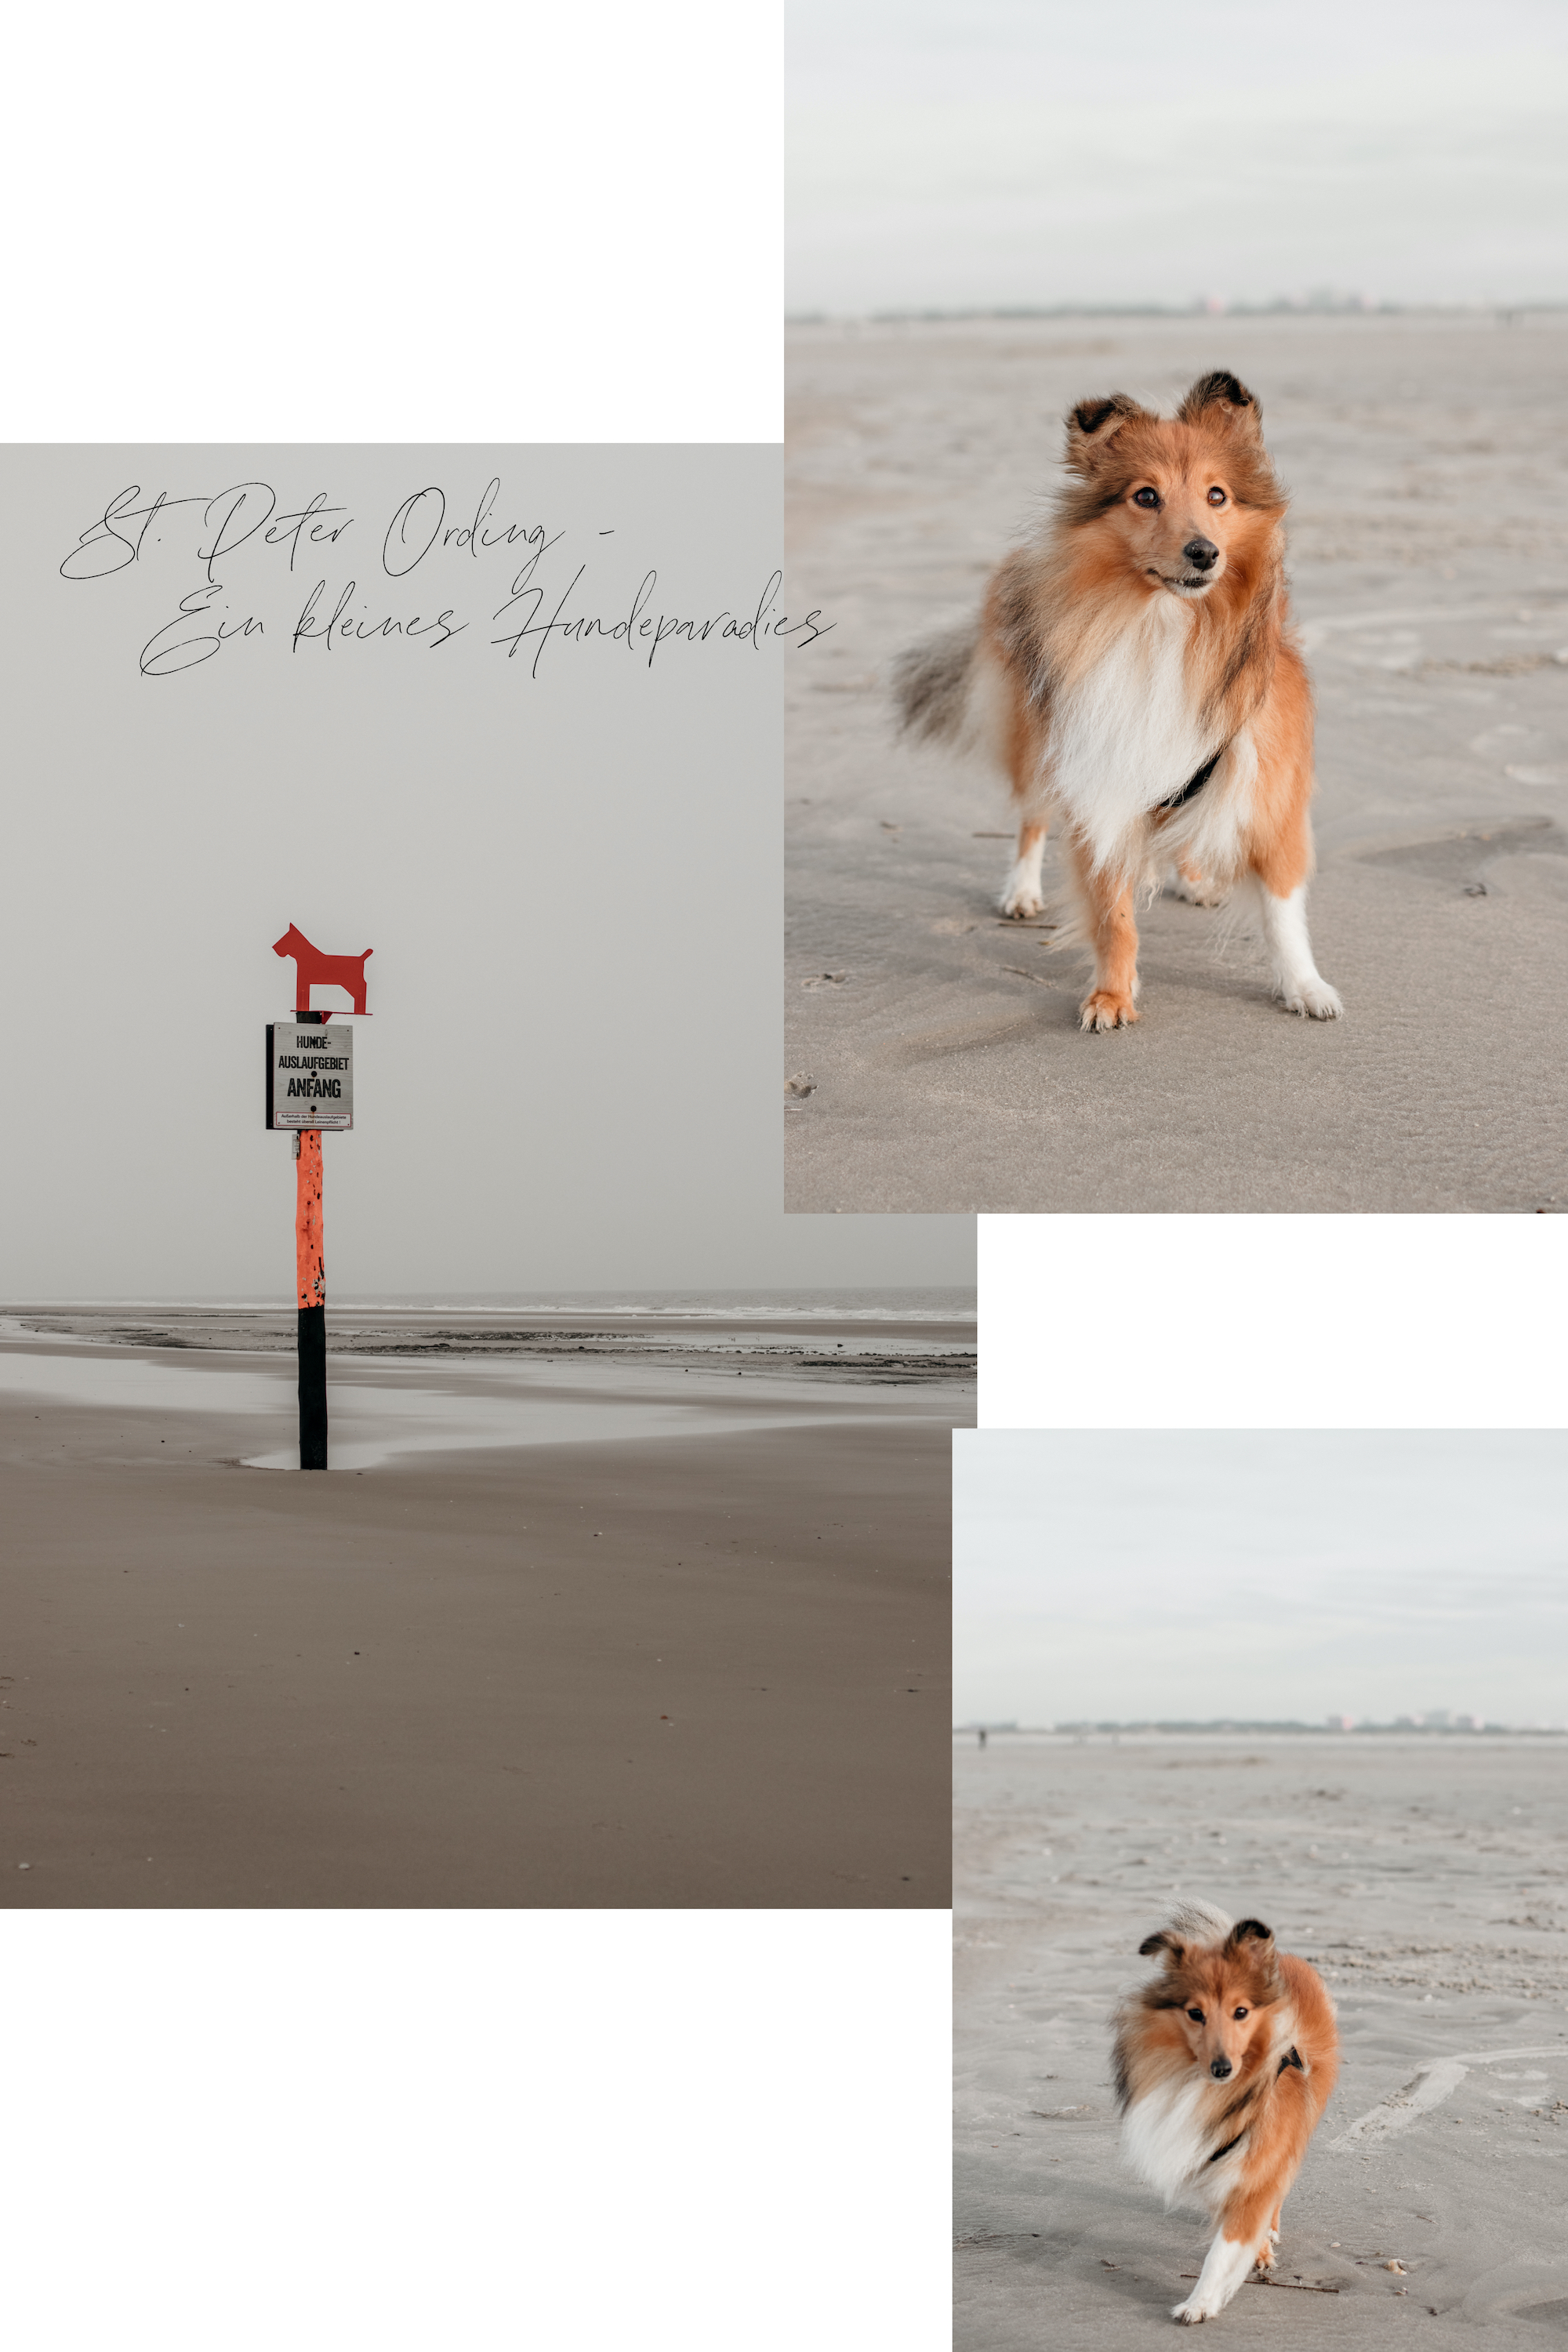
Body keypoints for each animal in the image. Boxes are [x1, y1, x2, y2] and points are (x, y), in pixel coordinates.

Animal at [902, 369, 1345, 1030]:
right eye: (1145, 496)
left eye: (1218, 496)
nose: (1204, 553)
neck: (1163, 625)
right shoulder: (1098, 772)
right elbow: (1113, 913)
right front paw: (1111, 995)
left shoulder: (1267, 783)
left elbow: (1283, 908)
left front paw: (1305, 986)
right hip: (1036, 740)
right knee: (1032, 817)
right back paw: (1021, 891)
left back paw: (1194, 877)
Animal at [1109, 1900, 1345, 2324]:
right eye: (1194, 2013)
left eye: (1241, 2011)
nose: (1222, 2068)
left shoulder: (1259, 2165)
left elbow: (1223, 2250)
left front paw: (1199, 2304)